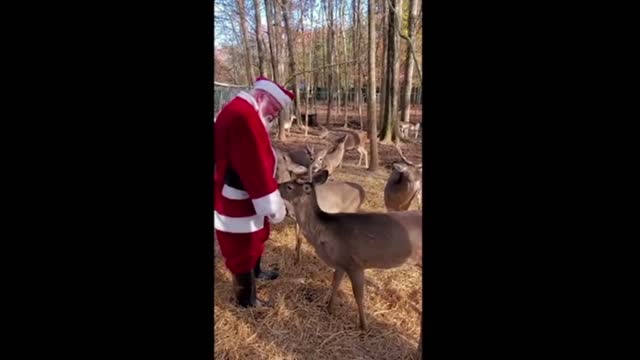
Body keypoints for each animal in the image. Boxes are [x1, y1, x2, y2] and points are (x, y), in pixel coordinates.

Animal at [278, 169, 422, 332]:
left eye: (289, 186)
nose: (277, 185)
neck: (324, 233)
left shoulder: (355, 263)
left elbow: (358, 295)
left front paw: (364, 326)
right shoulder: (340, 263)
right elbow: (334, 284)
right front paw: (329, 309)